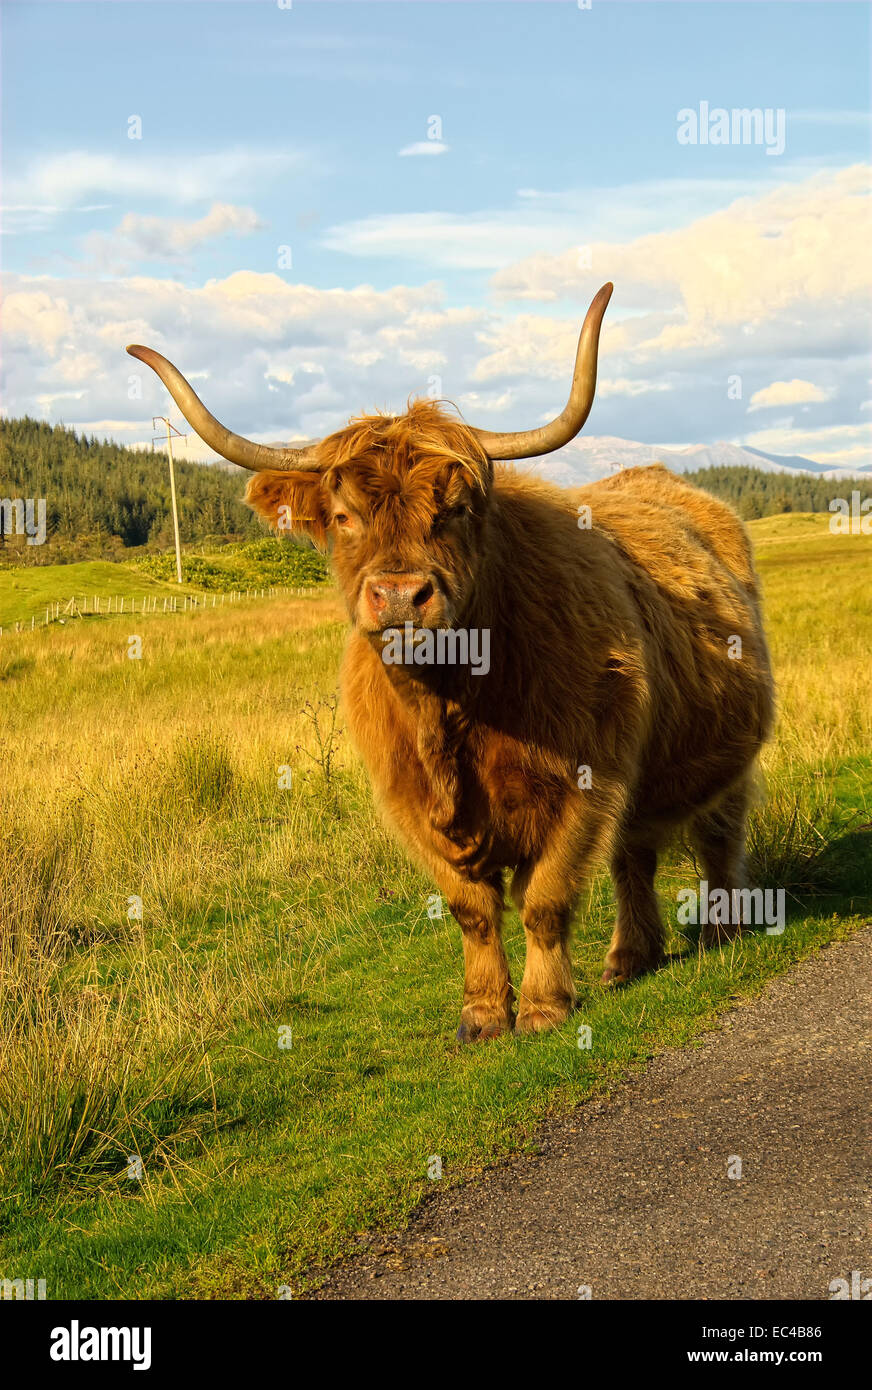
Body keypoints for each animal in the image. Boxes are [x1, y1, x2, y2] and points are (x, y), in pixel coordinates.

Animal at [127, 283, 774, 1040]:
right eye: (343, 516)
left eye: (457, 508)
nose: (401, 595)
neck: (451, 707)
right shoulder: (410, 803)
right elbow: (473, 911)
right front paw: (484, 1013)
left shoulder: (587, 781)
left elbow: (545, 898)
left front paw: (545, 1008)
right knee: (634, 856)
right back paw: (628, 958)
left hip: (724, 757)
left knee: (715, 834)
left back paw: (722, 931)